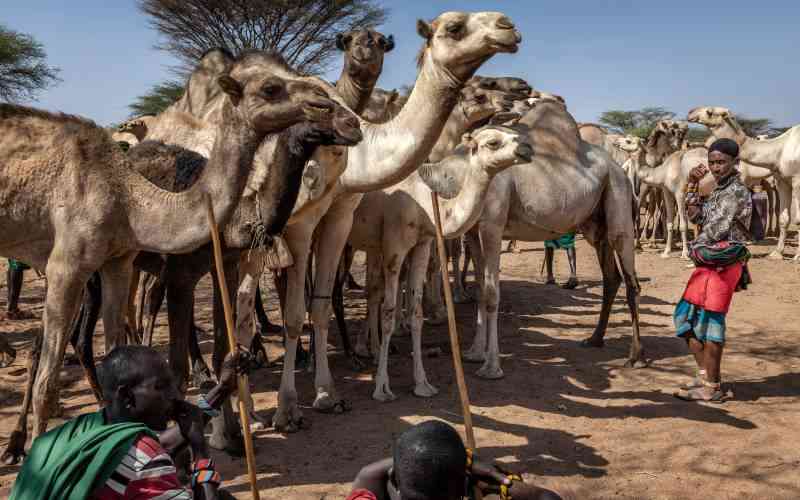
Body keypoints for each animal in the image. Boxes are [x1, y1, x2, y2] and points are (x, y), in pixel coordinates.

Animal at [0, 54, 344, 463]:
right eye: (270, 87)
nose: (336, 112)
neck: (127, 196)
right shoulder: (75, 265)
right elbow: (52, 383)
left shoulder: (130, 261)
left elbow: (138, 354)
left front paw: (227, 435)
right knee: (48, 351)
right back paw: (17, 443)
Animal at [349, 125, 532, 401]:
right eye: (492, 142)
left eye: (516, 136)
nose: (526, 149)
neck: (422, 204)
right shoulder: (394, 246)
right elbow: (389, 313)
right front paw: (382, 388)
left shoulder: (422, 244)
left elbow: (416, 313)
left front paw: (422, 384)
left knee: (370, 292)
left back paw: (371, 350)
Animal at [449, 97, 644, 378]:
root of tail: (621, 171)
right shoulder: (474, 232)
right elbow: (481, 290)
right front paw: (475, 353)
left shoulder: (492, 226)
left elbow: (492, 292)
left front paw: (491, 367)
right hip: (597, 223)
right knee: (611, 277)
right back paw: (594, 339)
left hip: (619, 199)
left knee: (631, 281)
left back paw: (635, 356)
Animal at [688, 106, 799, 259]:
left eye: (710, 112)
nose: (690, 113)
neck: (779, 150)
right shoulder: (782, 180)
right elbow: (784, 218)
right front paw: (776, 253)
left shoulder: (796, 179)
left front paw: (796, 256)